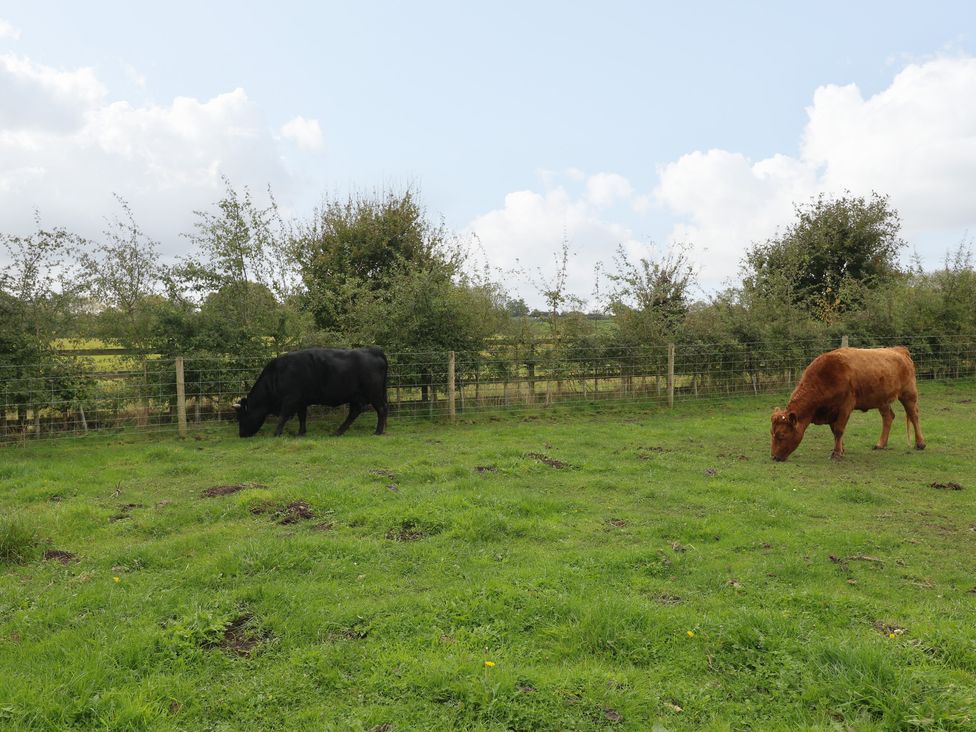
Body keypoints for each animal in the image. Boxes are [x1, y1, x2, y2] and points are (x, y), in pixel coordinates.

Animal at [234, 346, 388, 438]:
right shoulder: (301, 401)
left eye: (241, 417)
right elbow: (302, 417)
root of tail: (372, 350)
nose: (241, 434)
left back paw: (378, 431)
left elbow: (283, 416)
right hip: (356, 396)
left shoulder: (290, 399)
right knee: (355, 412)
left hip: (374, 393)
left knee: (381, 409)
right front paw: (301, 433)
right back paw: (338, 431)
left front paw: (277, 433)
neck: (276, 375)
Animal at [772, 346, 924, 460]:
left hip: (908, 394)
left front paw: (837, 453)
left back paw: (920, 443)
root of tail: (899, 350)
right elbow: (834, 430)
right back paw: (881, 444)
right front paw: (841, 448)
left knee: (914, 415)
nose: (773, 457)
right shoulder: (831, 411)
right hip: (882, 401)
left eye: (781, 435)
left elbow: (839, 429)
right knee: (888, 417)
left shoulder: (845, 406)